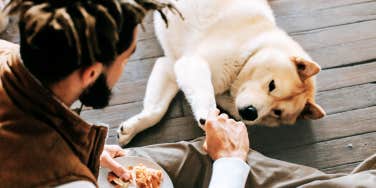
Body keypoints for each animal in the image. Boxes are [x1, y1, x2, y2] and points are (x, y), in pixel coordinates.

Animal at [118, 0, 326, 145]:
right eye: (272, 85)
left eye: (277, 112)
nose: (251, 113)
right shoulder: (192, 63)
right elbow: (204, 93)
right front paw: (209, 116)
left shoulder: (170, 65)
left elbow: (156, 110)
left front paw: (132, 128)